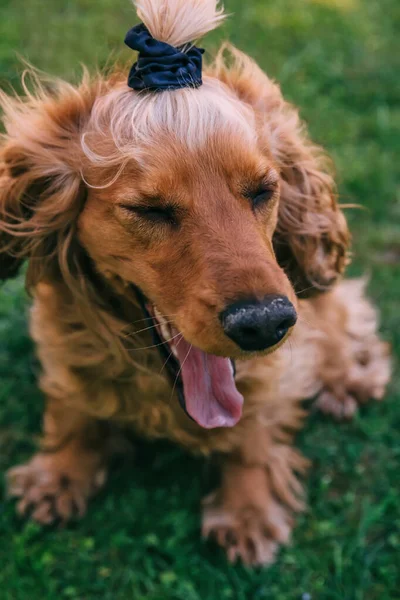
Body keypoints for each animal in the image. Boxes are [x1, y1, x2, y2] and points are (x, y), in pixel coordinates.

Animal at [0, 0, 390, 564]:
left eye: (263, 190)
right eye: (150, 210)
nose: (265, 324)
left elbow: (254, 434)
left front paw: (248, 511)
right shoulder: (66, 344)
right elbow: (73, 407)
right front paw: (59, 473)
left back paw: (348, 382)